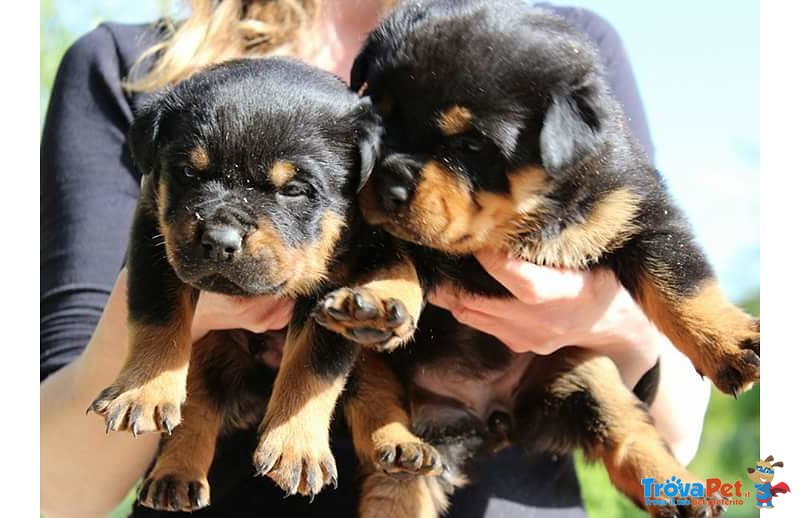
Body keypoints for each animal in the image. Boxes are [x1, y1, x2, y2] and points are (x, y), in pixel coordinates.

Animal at [84, 58, 418, 504]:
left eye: (294, 190)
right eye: (188, 172)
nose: (219, 240)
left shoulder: (342, 277)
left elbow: (314, 370)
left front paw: (296, 448)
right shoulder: (154, 237)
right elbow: (157, 317)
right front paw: (144, 391)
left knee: (373, 389)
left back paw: (399, 441)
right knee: (198, 407)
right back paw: (176, 476)